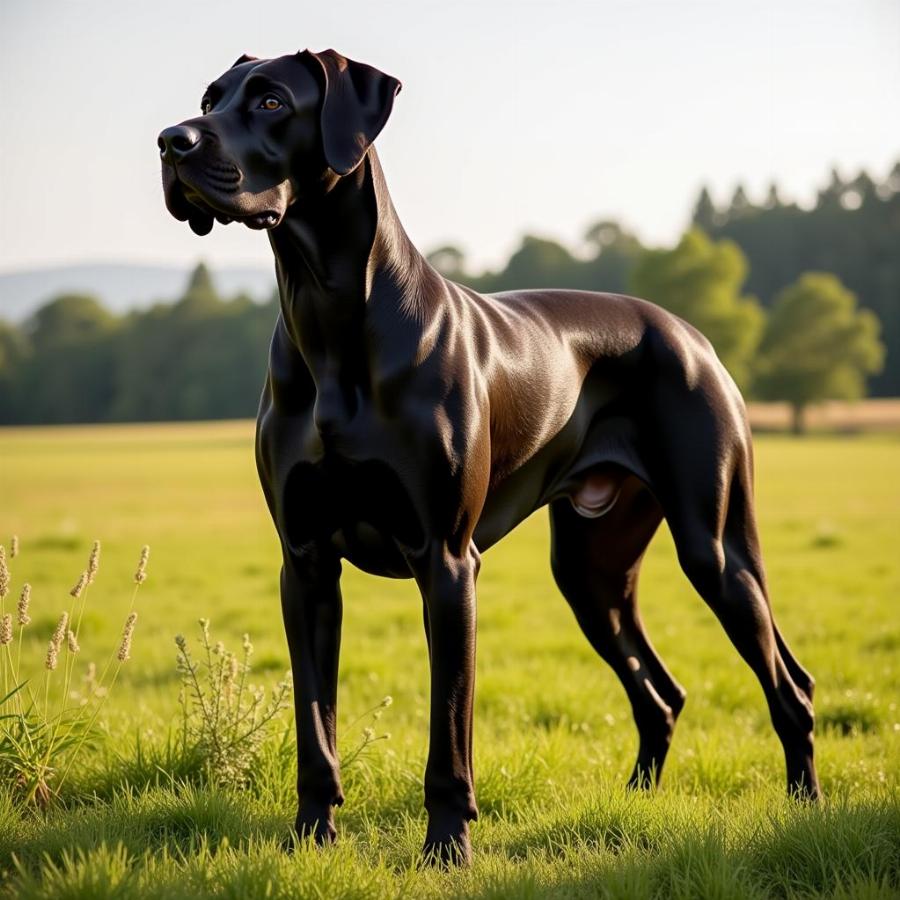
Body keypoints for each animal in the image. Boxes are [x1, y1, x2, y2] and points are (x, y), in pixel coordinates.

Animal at [158, 47, 820, 864]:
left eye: (273, 101)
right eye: (209, 99)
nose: (171, 142)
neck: (330, 313)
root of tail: (692, 334)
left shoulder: (446, 561)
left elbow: (449, 734)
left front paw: (447, 849)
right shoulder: (305, 563)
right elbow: (316, 728)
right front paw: (312, 837)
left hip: (716, 549)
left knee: (790, 689)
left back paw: (803, 806)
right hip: (590, 571)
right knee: (660, 693)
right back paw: (635, 805)